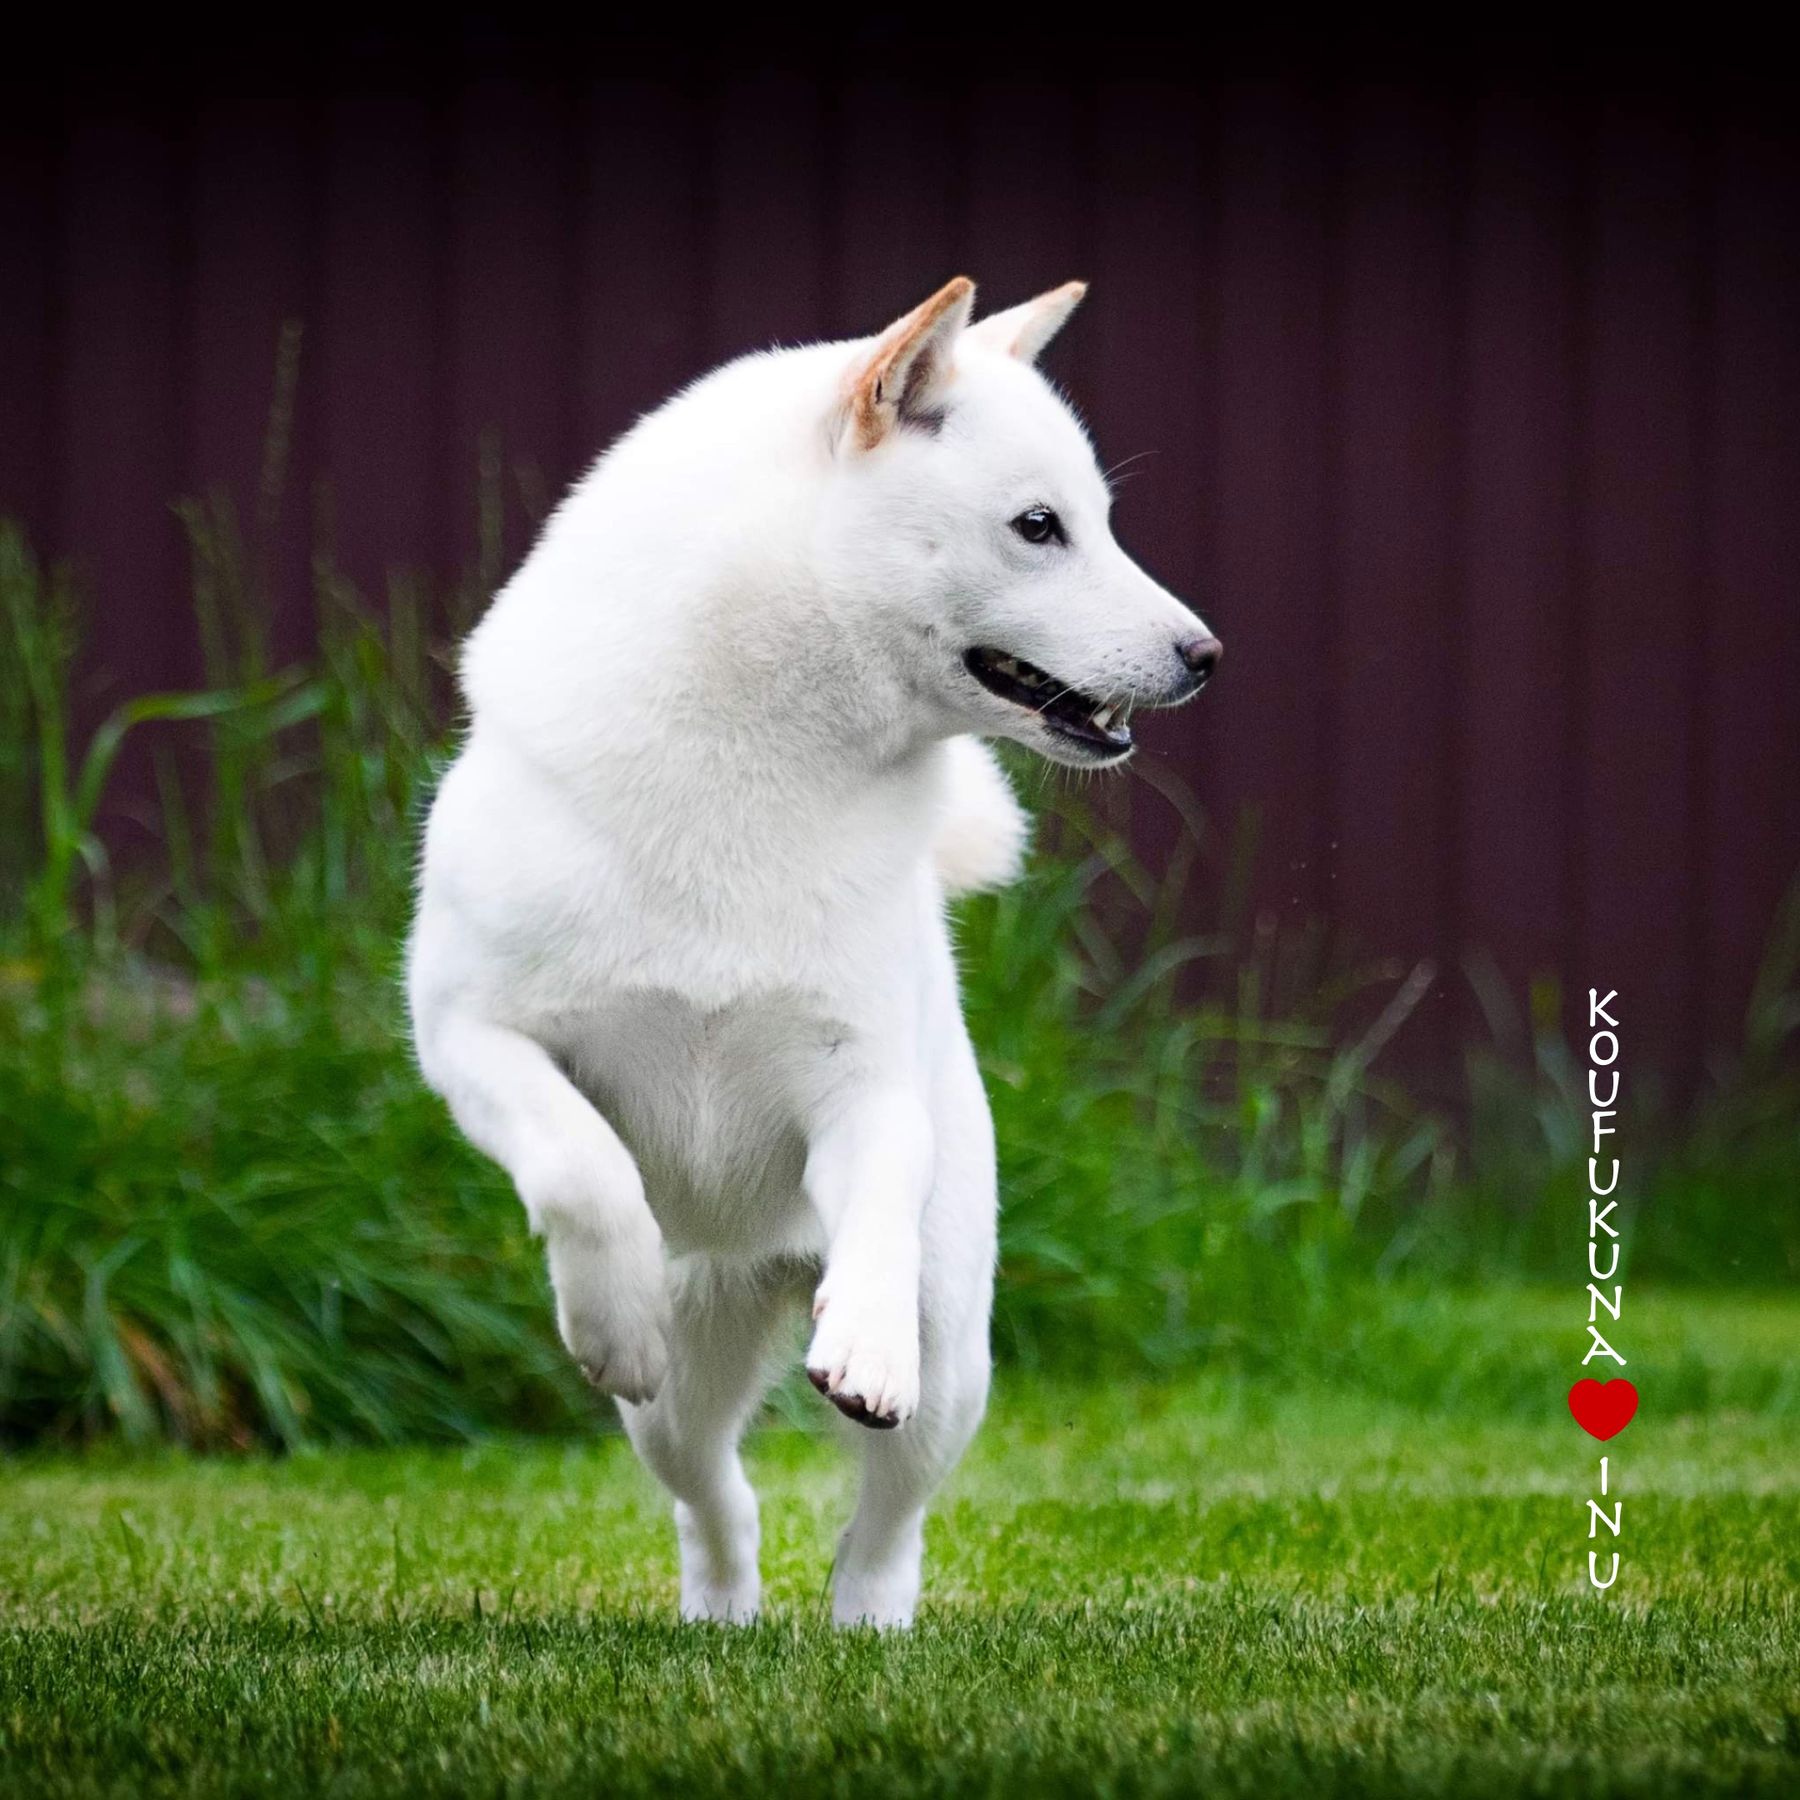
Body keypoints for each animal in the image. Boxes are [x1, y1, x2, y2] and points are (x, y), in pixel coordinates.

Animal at [408, 277, 1224, 1634]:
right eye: (1040, 526)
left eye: (1100, 521)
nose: (1207, 656)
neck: (757, 776)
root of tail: (763, 1265)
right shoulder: (473, 1036)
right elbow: (582, 1170)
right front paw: (607, 1309)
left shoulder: (867, 1088)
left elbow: (880, 1202)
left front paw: (864, 1345)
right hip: (678, 1395)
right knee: (716, 1498)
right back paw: (723, 1606)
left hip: (955, 1364)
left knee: (884, 1524)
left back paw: (867, 1623)